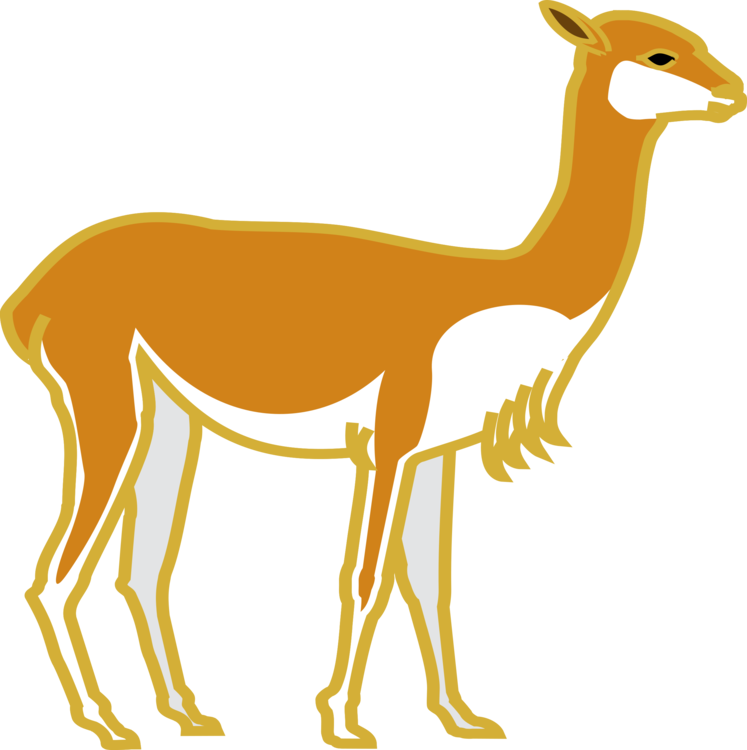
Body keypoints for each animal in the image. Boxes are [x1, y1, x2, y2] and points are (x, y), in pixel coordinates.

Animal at [1, 1, 744, 747]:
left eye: (699, 40)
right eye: (658, 55)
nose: (734, 93)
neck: (505, 293)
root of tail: (31, 294)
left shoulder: (435, 453)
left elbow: (430, 581)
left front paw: (463, 719)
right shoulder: (390, 439)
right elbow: (364, 577)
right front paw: (343, 725)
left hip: (170, 418)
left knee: (144, 568)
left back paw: (189, 715)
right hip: (106, 403)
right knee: (57, 573)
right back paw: (107, 724)